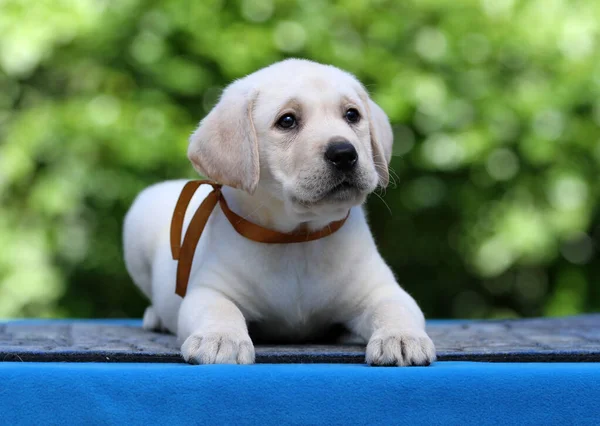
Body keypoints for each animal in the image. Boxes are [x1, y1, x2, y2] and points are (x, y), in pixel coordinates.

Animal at [124, 59, 438, 366]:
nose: (344, 153)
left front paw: (401, 337)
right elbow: (219, 310)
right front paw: (220, 338)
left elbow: (394, 308)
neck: (296, 237)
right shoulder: (210, 288)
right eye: (287, 121)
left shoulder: (380, 289)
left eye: (352, 115)